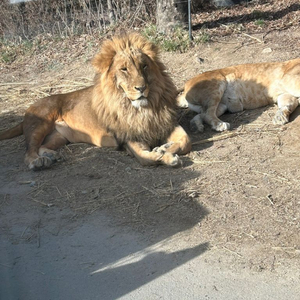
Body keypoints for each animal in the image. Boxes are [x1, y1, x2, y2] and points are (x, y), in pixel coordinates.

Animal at [0, 33, 191, 170]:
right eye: (124, 69)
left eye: (144, 66)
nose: (141, 88)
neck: (143, 109)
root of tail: (29, 108)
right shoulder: (127, 138)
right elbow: (145, 158)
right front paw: (163, 155)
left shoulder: (166, 124)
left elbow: (186, 141)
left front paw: (165, 148)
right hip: (40, 124)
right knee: (29, 149)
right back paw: (37, 162)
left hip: (59, 136)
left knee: (42, 146)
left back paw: (51, 155)